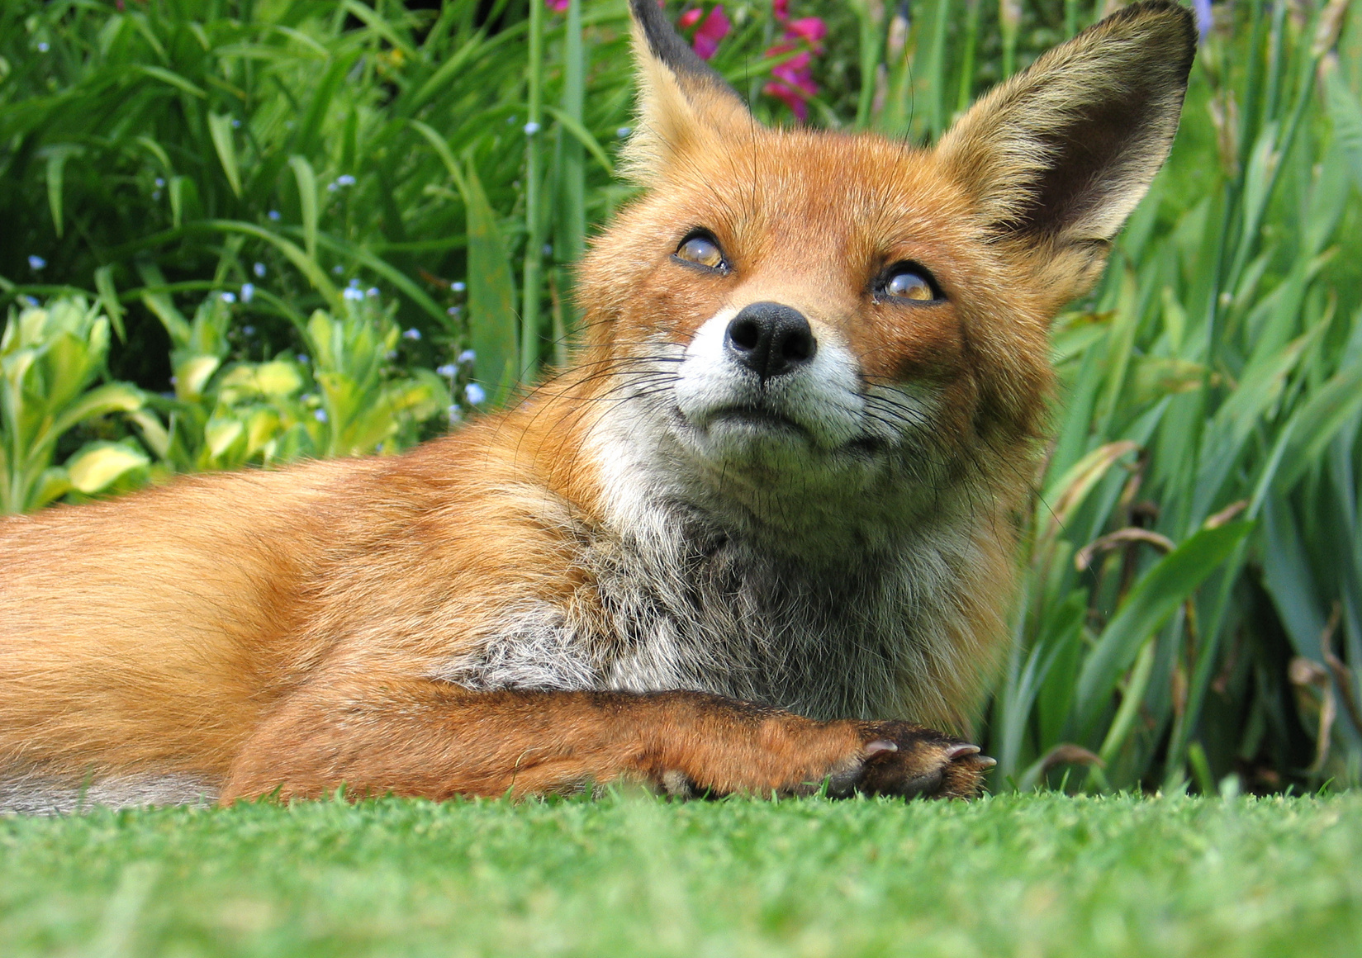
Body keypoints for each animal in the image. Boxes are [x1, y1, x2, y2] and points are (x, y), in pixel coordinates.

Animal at [0, 0, 1193, 812]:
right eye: (704, 252)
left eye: (906, 284)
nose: (770, 333)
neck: (738, 625)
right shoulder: (321, 733)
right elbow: (635, 707)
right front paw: (799, 753)